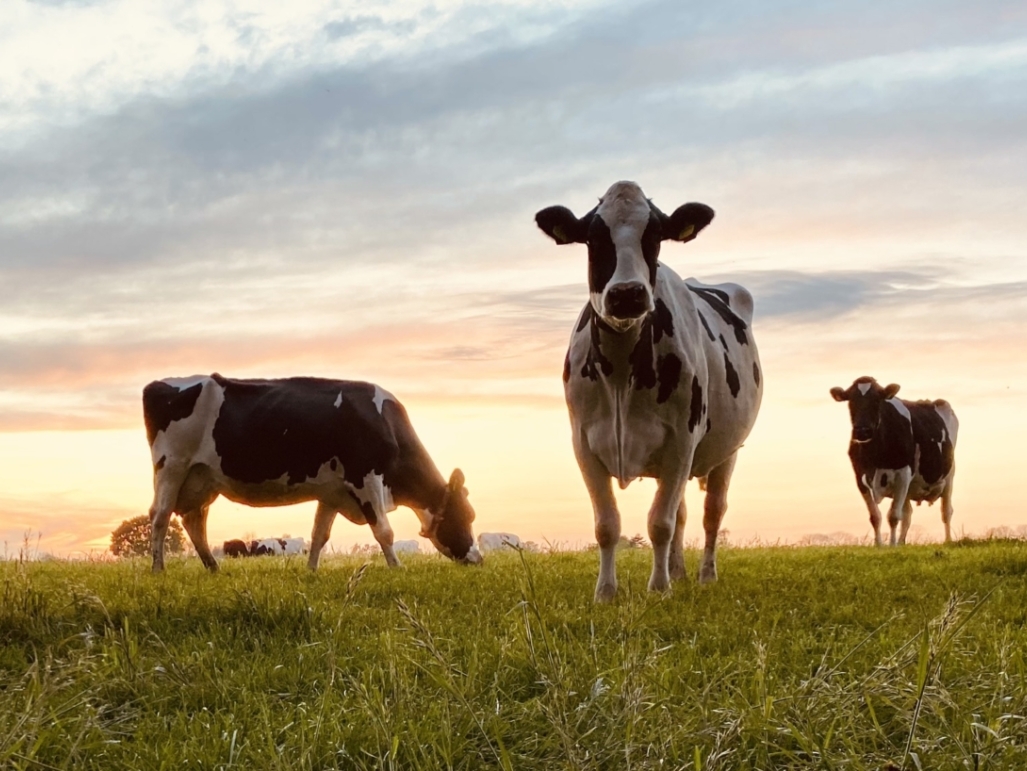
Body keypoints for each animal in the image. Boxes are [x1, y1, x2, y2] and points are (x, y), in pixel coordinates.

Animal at [142, 374, 482, 572]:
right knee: (160, 515)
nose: (478, 559)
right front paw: (397, 568)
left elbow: (319, 534)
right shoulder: (366, 477)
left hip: (203, 479)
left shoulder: (333, 491)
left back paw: (213, 567)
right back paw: (158, 570)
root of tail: (159, 383)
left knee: (193, 520)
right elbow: (384, 530)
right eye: (468, 515)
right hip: (171, 466)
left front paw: (311, 572)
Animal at [536, 180, 763, 601]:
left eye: (655, 236)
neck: (622, 368)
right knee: (684, 512)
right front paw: (606, 593)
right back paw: (678, 570)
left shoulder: (682, 441)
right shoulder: (584, 443)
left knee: (711, 513)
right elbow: (608, 524)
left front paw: (658, 589)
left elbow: (660, 522)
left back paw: (705, 575)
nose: (627, 294)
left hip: (727, 450)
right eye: (593, 237)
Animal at [830, 376, 958, 546]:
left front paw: (891, 545)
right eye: (851, 401)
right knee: (908, 514)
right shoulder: (860, 477)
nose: (862, 431)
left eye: (877, 400)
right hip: (909, 488)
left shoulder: (903, 474)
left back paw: (948, 540)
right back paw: (902, 542)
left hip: (949, 476)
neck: (875, 456)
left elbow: (893, 516)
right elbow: (875, 517)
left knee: (946, 511)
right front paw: (879, 545)